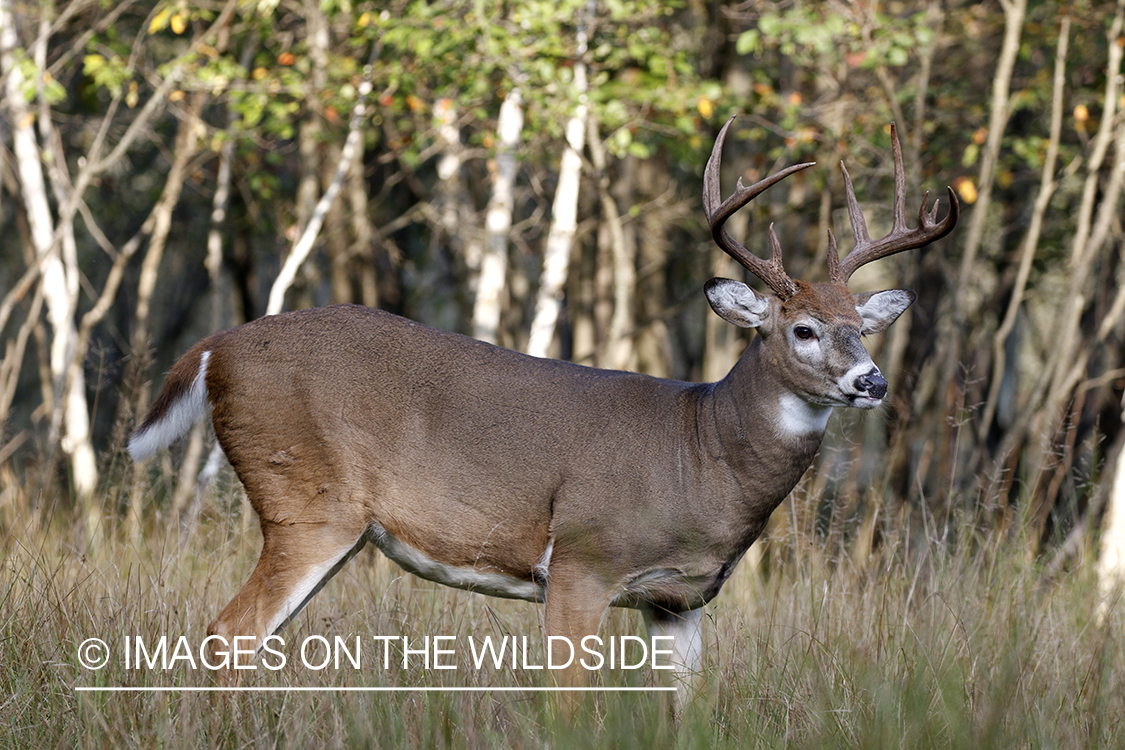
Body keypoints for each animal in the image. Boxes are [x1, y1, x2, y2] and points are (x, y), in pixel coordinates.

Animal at [131, 115, 958, 697]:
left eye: (862, 328)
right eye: (802, 329)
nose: (872, 382)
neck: (699, 451)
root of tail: (216, 349)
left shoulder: (679, 601)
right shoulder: (581, 561)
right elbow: (568, 702)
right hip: (306, 498)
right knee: (227, 633)